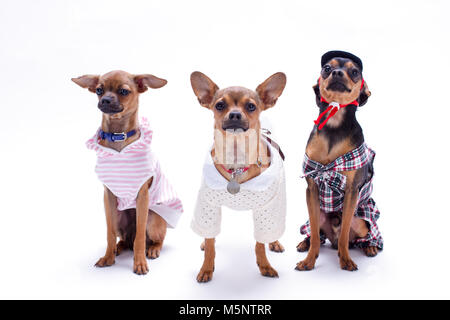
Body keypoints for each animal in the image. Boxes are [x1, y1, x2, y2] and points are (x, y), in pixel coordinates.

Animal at [72, 70, 183, 276]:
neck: (118, 137)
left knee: (154, 238)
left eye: (124, 91)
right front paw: (108, 257)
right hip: (118, 216)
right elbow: (108, 233)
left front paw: (139, 263)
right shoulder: (108, 197)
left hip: (153, 219)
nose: (105, 100)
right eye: (99, 90)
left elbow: (140, 236)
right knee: (123, 238)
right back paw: (118, 248)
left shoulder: (142, 196)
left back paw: (152, 249)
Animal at [190, 71, 288, 282]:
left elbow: (260, 244)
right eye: (220, 105)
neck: (236, 162)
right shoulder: (208, 205)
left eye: (251, 106)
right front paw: (206, 268)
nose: (235, 114)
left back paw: (274, 242)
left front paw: (265, 265)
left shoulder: (266, 209)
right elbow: (210, 245)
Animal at [296, 51, 384, 272]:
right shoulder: (312, 187)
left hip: (362, 221)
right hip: (318, 212)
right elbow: (316, 236)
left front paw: (345, 260)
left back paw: (370, 247)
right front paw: (309, 261)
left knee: (362, 235)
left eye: (354, 72)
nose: (336, 72)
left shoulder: (352, 191)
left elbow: (344, 233)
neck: (334, 123)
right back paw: (304, 243)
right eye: (326, 68)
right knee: (315, 232)